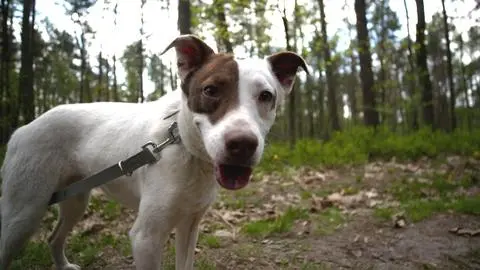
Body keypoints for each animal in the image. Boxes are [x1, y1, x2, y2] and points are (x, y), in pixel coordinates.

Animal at [0, 34, 308, 268]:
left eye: (266, 96)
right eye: (210, 90)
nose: (242, 144)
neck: (187, 151)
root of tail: (24, 128)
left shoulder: (190, 226)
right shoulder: (146, 237)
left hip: (75, 199)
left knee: (54, 237)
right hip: (24, 212)